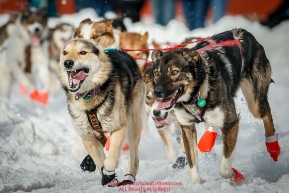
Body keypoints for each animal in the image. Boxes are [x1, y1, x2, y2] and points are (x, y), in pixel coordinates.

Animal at [57, 38, 146, 185]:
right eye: (65, 52)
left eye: (83, 52)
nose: (68, 62)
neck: (88, 95)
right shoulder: (87, 137)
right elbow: (100, 162)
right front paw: (106, 176)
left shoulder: (120, 128)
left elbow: (110, 161)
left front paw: (109, 174)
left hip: (133, 125)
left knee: (135, 158)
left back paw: (129, 177)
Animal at [148, 28, 280, 184]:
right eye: (157, 73)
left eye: (174, 72)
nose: (157, 91)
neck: (197, 94)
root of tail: (243, 31)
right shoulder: (187, 127)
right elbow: (192, 164)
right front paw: (197, 183)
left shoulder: (231, 122)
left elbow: (225, 168)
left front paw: (234, 176)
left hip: (255, 104)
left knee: (266, 113)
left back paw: (273, 148)